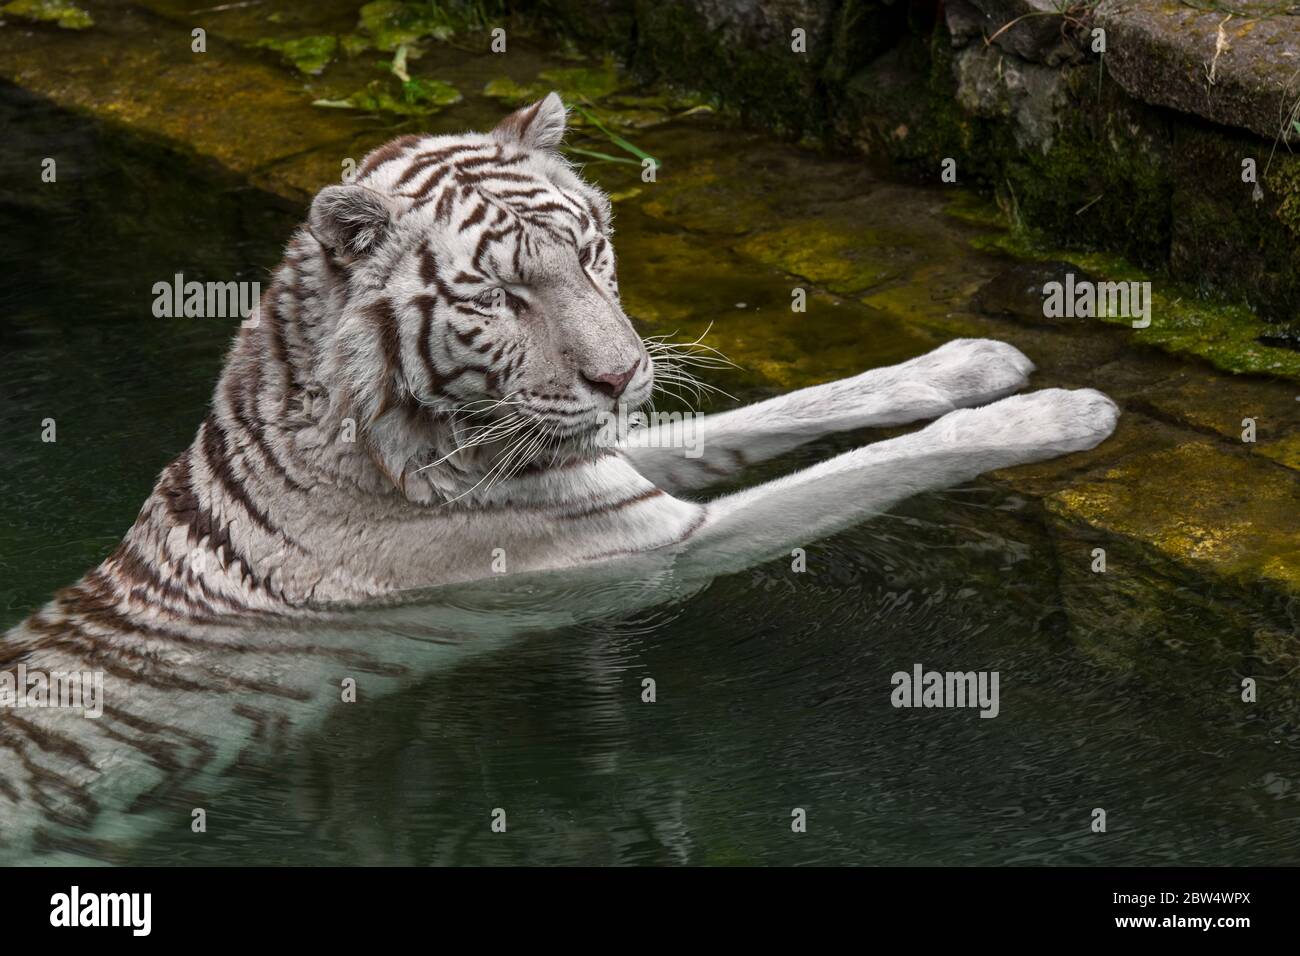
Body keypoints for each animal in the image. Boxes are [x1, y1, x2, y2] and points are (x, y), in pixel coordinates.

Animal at [0, 93, 1118, 861]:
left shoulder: (610, 465)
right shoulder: (655, 548)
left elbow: (789, 411)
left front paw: (975, 361)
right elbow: (876, 465)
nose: (623, 376)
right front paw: (1059, 412)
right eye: (499, 297)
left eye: (591, 253)